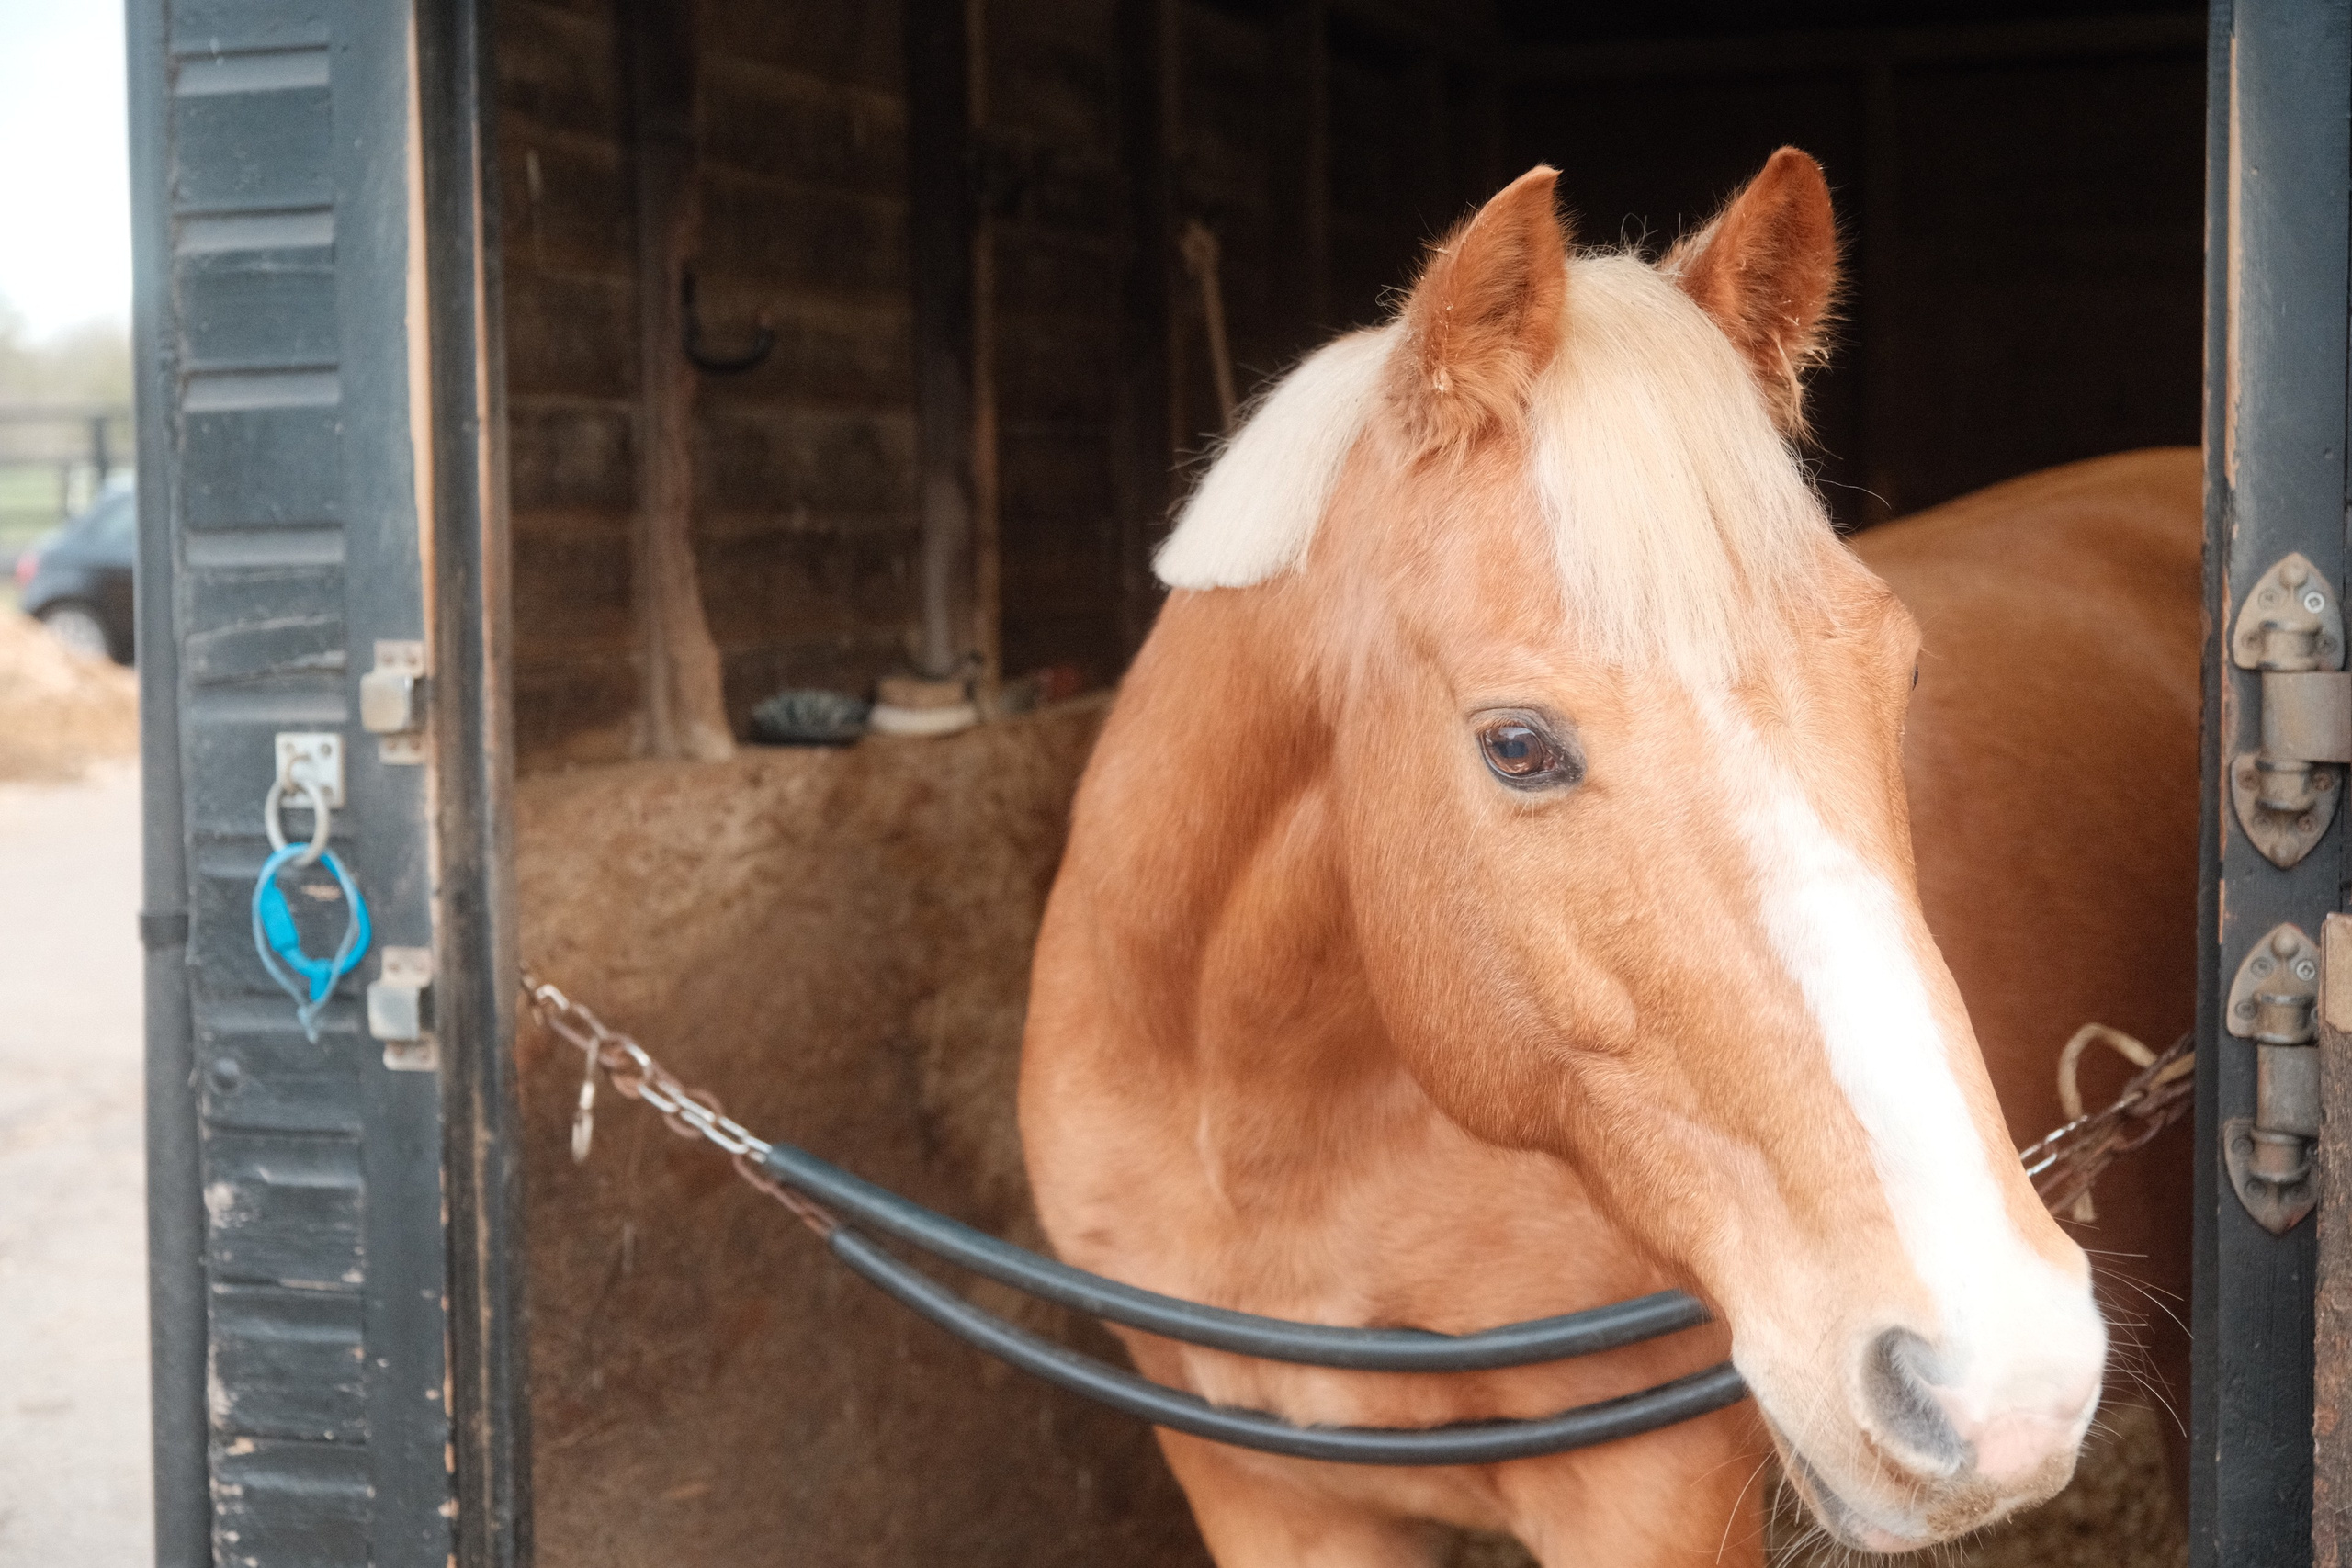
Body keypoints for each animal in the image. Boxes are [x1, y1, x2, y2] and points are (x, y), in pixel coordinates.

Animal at [1020, 149, 2140, 1564]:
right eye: (1516, 747)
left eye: (1904, 675)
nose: (2003, 1380)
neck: (1269, 1129)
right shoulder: (1261, 1491)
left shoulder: (1646, 1497)